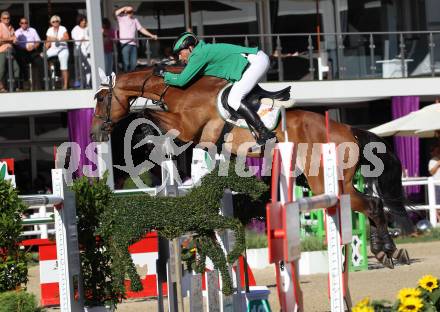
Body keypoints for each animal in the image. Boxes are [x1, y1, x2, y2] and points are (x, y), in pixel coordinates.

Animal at [91, 66, 414, 268]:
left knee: (372, 205)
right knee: (373, 204)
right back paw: (387, 250)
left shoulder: (189, 128)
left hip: (326, 181)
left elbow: (146, 112)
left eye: (102, 98)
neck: (182, 90)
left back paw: (384, 250)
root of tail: (350, 131)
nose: (95, 133)